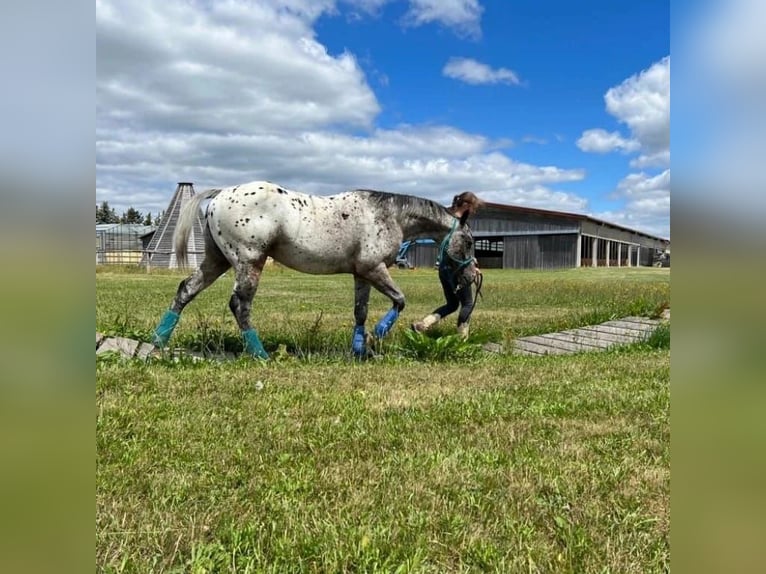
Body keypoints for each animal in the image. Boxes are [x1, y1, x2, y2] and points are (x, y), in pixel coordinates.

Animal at [153, 181, 484, 360]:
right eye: (469, 242)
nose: (471, 277)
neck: (389, 215)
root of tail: (222, 194)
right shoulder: (373, 268)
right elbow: (399, 300)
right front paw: (379, 334)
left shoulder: (362, 274)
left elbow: (360, 312)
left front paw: (360, 349)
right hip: (249, 262)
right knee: (240, 304)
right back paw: (260, 354)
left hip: (216, 261)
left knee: (186, 290)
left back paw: (158, 342)